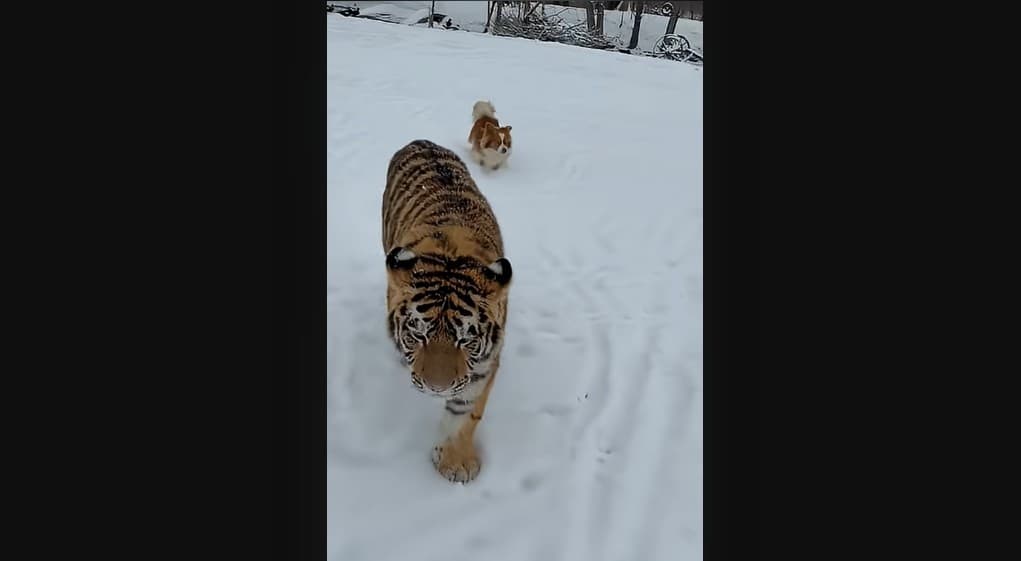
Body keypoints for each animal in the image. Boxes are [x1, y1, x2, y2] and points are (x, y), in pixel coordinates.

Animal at [382, 139, 513, 483]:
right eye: (417, 334)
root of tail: (420, 140)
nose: (436, 388)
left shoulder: (483, 364)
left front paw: (456, 462)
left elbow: (465, 413)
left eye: (465, 340)